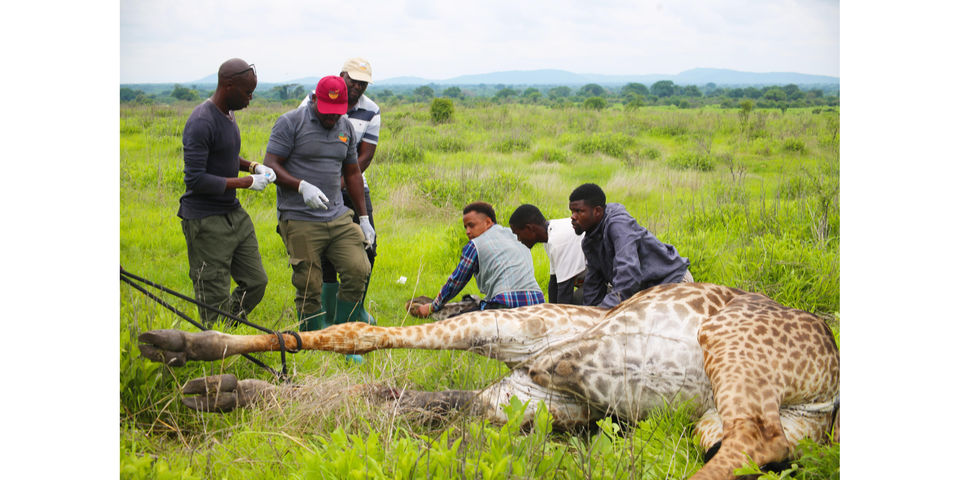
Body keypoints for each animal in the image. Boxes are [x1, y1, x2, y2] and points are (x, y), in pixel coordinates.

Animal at [139, 284, 836, 478]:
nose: (205, 393)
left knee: (753, 435)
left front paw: (188, 350)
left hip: (732, 343)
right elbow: (387, 395)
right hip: (755, 414)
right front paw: (196, 364)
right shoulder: (528, 396)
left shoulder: (513, 324)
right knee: (749, 438)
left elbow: (356, 335)